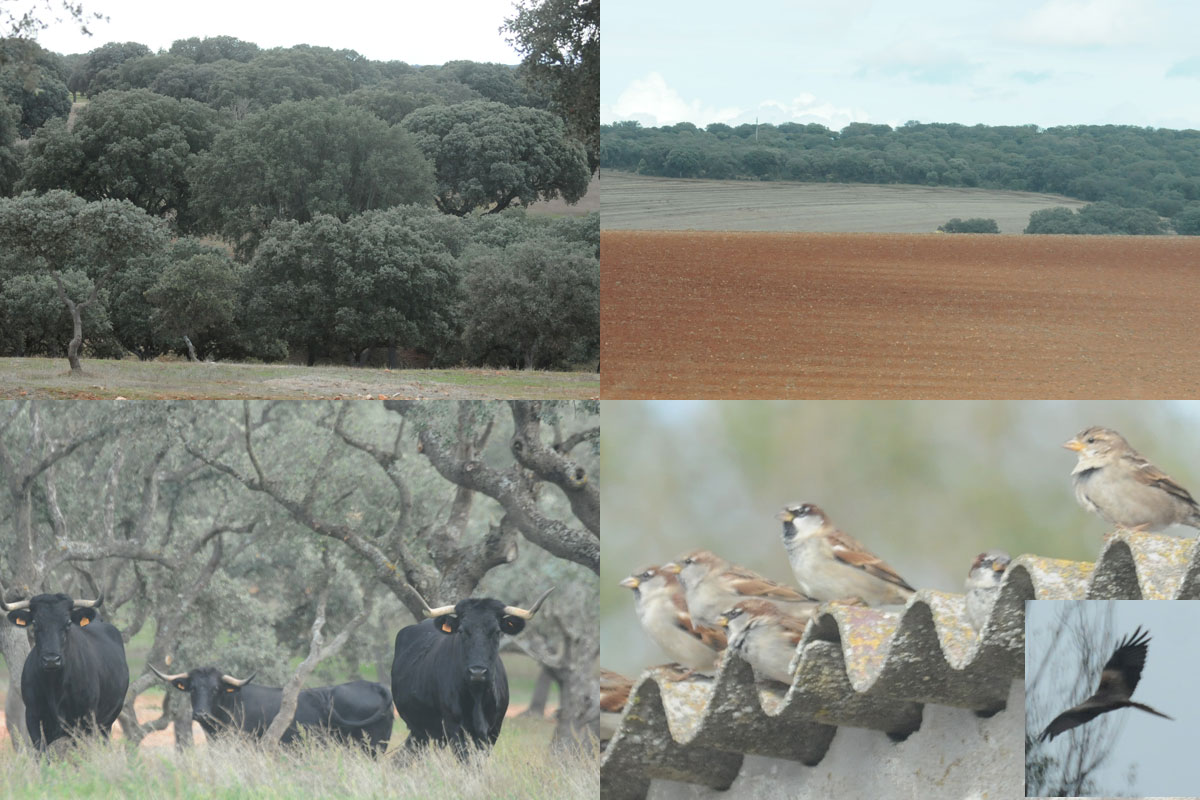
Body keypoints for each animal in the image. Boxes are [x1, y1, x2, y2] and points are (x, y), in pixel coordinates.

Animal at [2, 587, 129, 753]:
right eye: (35, 623)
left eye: (68, 623)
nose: (51, 660)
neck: (54, 686)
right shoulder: (33, 717)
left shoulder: (84, 720)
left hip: (106, 723)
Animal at [391, 587, 554, 758]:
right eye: (462, 631)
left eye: (497, 631)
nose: (477, 672)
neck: (477, 695)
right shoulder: (454, 727)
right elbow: (466, 759)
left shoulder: (493, 730)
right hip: (420, 729)